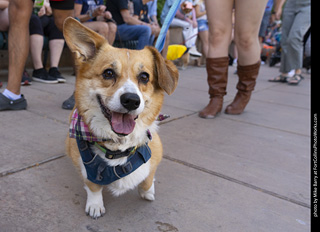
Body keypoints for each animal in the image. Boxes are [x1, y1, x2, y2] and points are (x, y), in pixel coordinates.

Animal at [62, 17, 178, 218]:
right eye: (108, 73)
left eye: (144, 77)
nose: (131, 100)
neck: (118, 147)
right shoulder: (85, 168)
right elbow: (93, 186)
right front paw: (95, 205)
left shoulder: (154, 152)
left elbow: (147, 178)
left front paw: (148, 191)